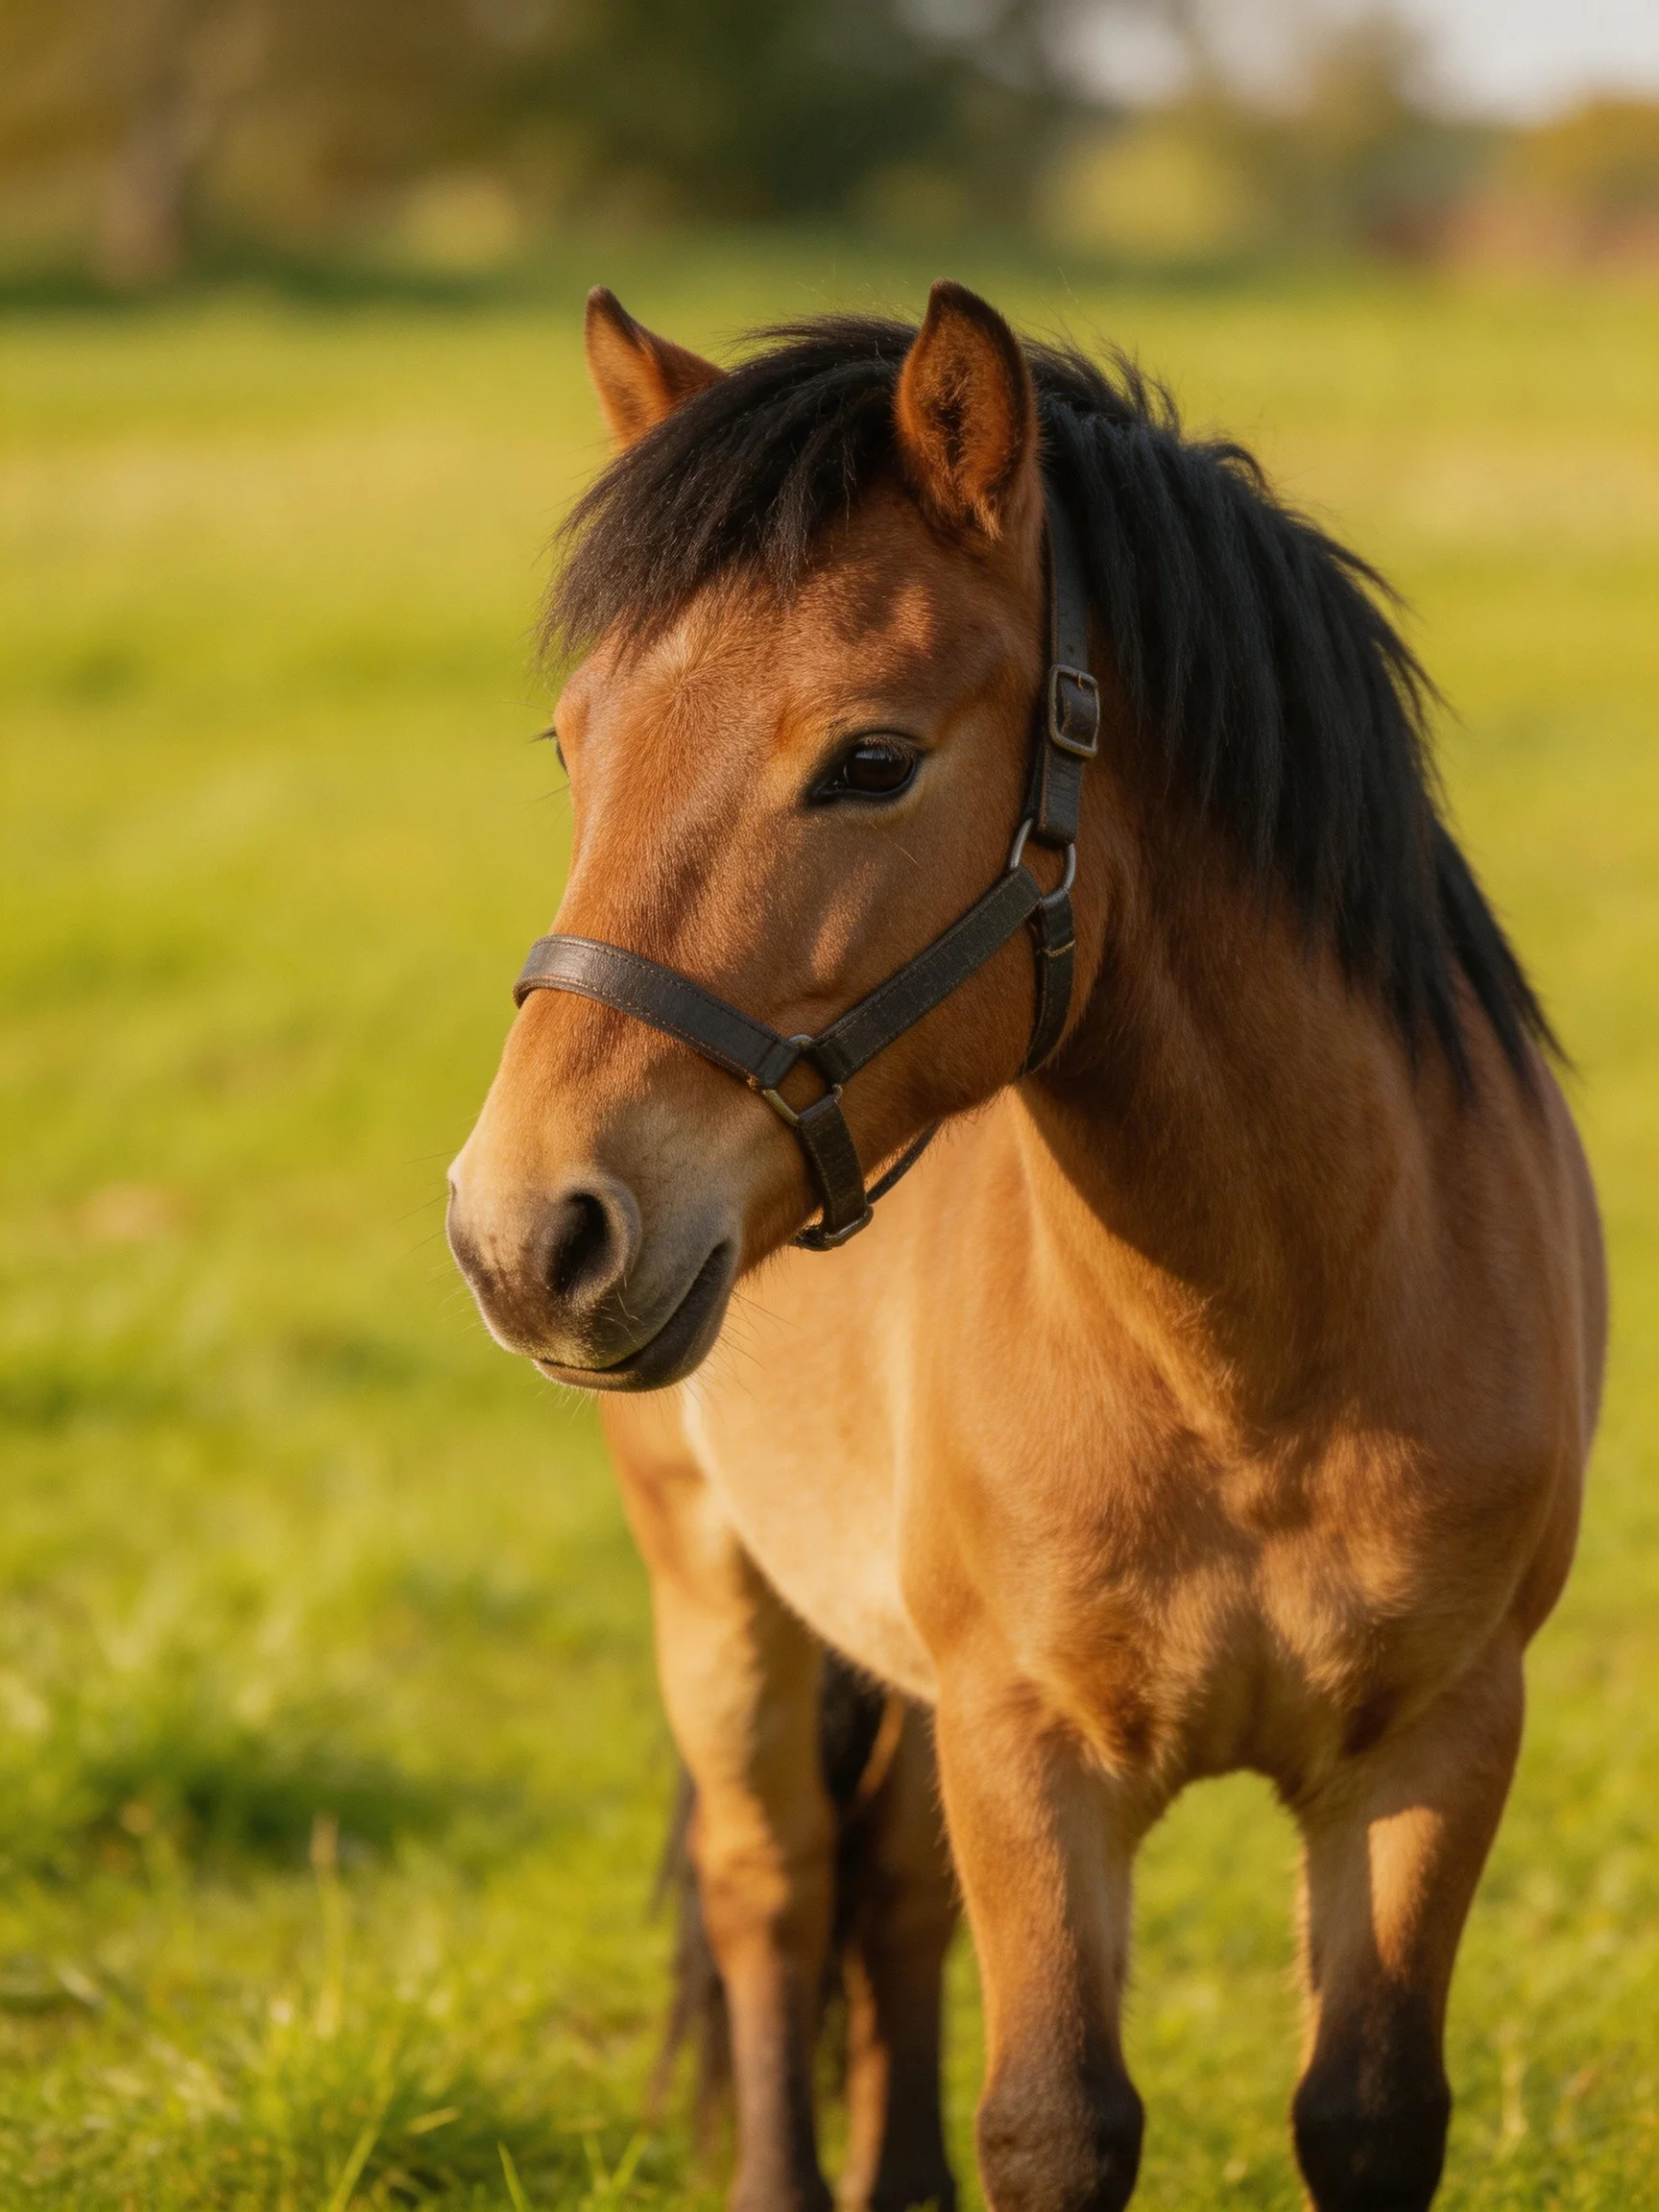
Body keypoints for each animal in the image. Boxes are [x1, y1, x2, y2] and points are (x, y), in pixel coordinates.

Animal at [447, 280, 1606, 2212]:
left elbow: (1364, 2112)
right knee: (779, 1893)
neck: (1263, 1351)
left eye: (871, 760)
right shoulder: (1028, 1750)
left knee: (892, 1900)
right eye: (570, 741)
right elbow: (1055, 2122)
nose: (523, 1229)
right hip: (717, 1589)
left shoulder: (1438, 1744)